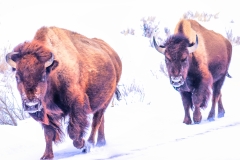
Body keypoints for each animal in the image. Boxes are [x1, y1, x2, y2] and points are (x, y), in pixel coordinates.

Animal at [5, 26, 122, 159]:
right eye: (17, 77)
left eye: (43, 76)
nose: (31, 105)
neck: (54, 73)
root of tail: (113, 54)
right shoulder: (46, 113)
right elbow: (48, 133)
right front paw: (47, 156)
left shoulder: (77, 104)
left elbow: (73, 131)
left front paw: (82, 144)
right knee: (100, 121)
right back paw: (100, 143)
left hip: (106, 101)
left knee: (96, 122)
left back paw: (90, 144)